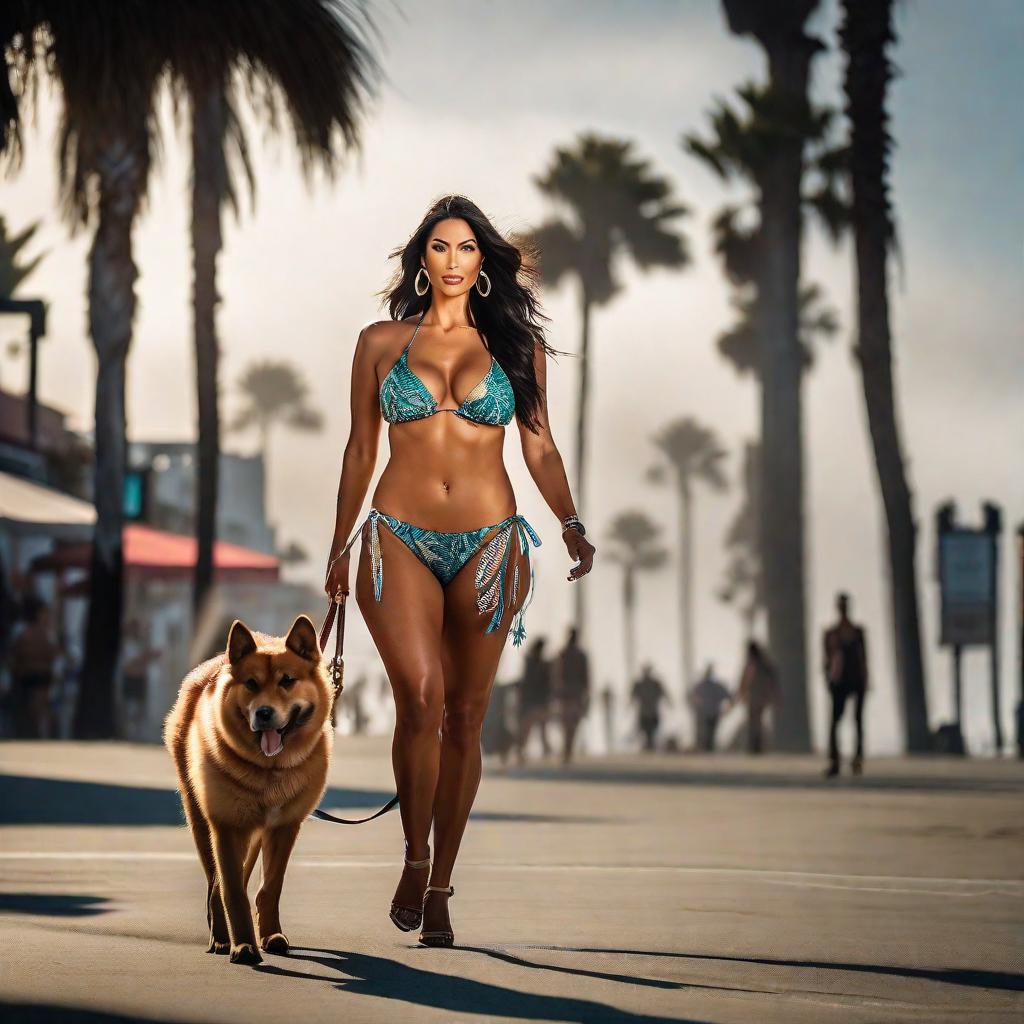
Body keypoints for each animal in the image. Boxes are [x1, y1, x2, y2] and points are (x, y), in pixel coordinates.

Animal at [163, 610, 331, 962]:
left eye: (287, 680)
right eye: (251, 683)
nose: (264, 713)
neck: (269, 770)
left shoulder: (284, 827)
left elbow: (270, 887)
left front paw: (270, 935)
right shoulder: (226, 827)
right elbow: (231, 890)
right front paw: (243, 945)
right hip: (201, 822)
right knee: (216, 883)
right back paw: (221, 938)